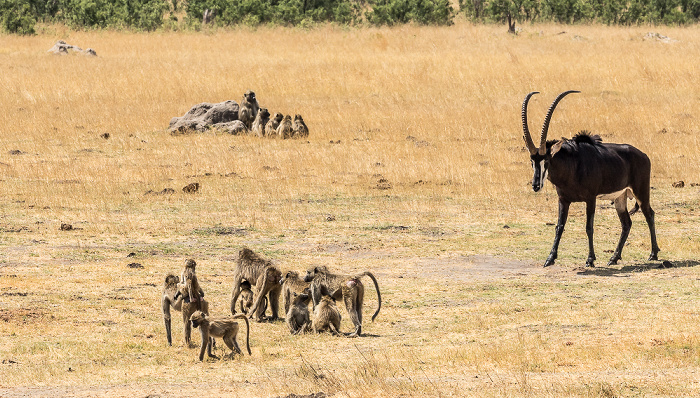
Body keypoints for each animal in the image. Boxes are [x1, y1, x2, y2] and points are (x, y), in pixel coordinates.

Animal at [524, 91, 660, 268]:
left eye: (546, 160)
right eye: (532, 161)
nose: (535, 185)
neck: (572, 165)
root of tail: (643, 155)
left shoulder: (590, 199)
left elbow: (589, 227)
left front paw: (590, 259)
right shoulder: (563, 200)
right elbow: (559, 226)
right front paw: (550, 258)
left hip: (641, 192)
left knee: (649, 214)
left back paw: (653, 254)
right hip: (620, 197)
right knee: (626, 223)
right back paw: (614, 258)